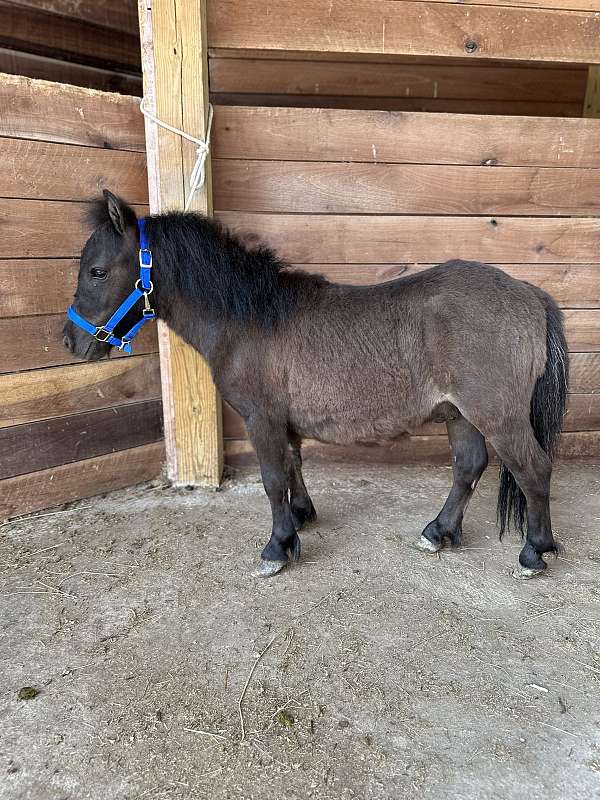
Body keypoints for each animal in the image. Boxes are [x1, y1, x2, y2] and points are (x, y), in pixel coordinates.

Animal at [64, 195, 568, 580]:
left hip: (497, 415)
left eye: (97, 271)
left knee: (534, 469)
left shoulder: (261, 417)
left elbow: (271, 480)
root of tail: (528, 293)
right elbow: (292, 467)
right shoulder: (282, 420)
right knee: (468, 467)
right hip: (459, 414)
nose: (71, 341)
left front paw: (276, 547)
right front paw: (300, 519)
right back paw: (438, 533)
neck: (249, 319)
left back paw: (534, 552)